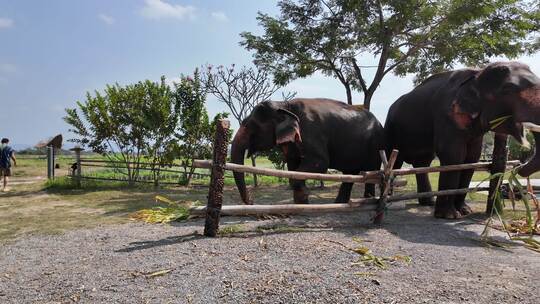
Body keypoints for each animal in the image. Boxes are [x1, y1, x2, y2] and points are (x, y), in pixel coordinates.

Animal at [386, 61, 540, 218]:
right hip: (390, 128)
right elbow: (453, 155)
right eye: (507, 89)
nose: (519, 167)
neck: (477, 73)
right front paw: (449, 216)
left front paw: (465, 211)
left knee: (423, 162)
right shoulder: (446, 114)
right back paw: (388, 202)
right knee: (394, 159)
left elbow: (471, 157)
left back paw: (428, 202)